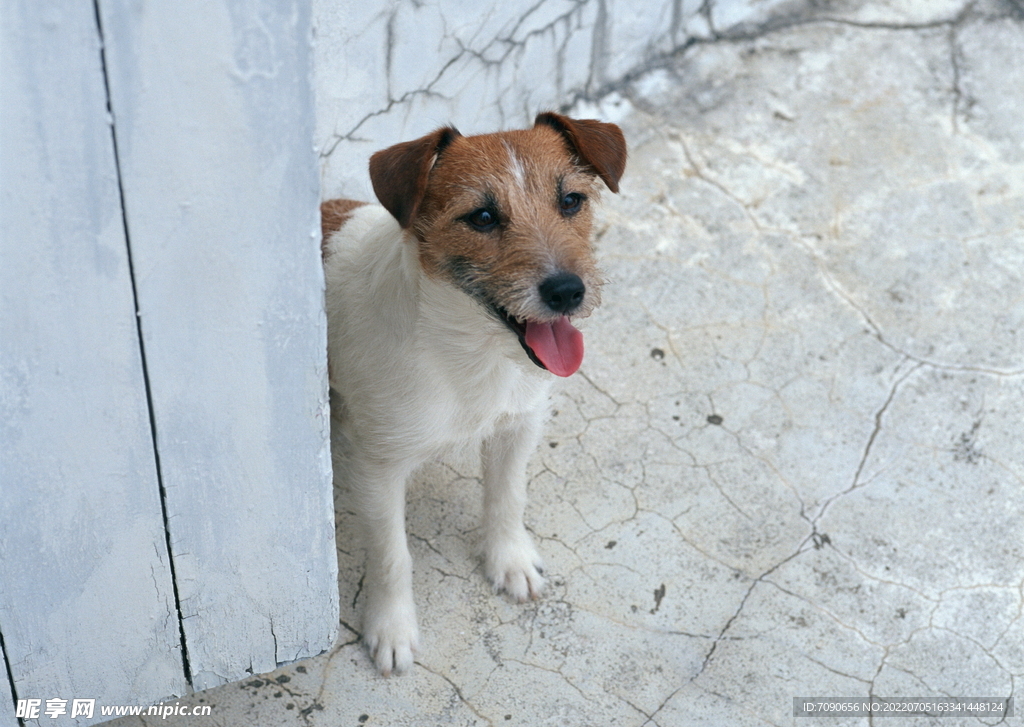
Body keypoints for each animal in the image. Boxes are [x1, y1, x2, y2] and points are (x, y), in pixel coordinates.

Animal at [321, 111, 622, 675]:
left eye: (571, 201)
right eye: (482, 217)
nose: (567, 291)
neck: (468, 350)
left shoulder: (519, 425)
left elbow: (507, 497)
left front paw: (510, 561)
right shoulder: (378, 469)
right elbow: (392, 555)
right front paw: (392, 628)